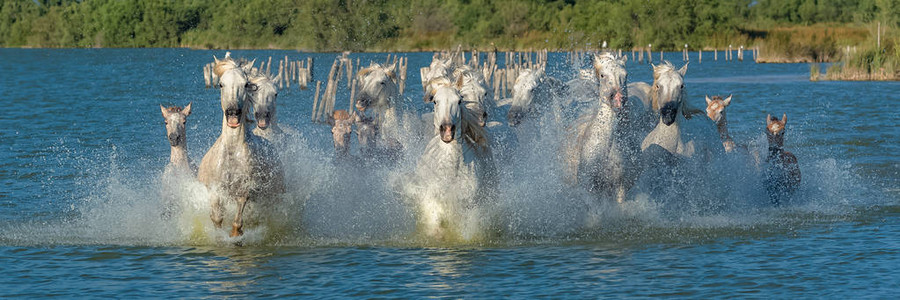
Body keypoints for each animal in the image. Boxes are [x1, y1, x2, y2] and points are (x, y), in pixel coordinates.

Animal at [200, 53, 284, 237]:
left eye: (245, 84)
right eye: (221, 84)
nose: (233, 112)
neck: (232, 152)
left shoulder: (244, 191)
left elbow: (237, 223)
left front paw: (235, 236)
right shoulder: (216, 190)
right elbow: (217, 218)